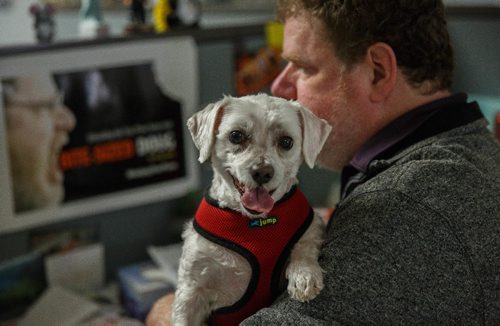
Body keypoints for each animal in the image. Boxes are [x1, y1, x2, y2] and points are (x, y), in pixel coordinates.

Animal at [172, 93, 332, 324]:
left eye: (287, 141)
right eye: (236, 135)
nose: (262, 172)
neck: (252, 222)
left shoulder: (311, 226)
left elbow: (305, 245)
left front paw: (304, 275)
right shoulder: (192, 289)